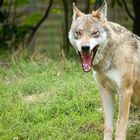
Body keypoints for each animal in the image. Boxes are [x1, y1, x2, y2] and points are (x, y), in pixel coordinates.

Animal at [68, 0, 140, 139]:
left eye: (94, 33)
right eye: (78, 33)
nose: (85, 47)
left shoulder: (125, 92)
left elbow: (120, 129)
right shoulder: (105, 91)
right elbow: (108, 127)